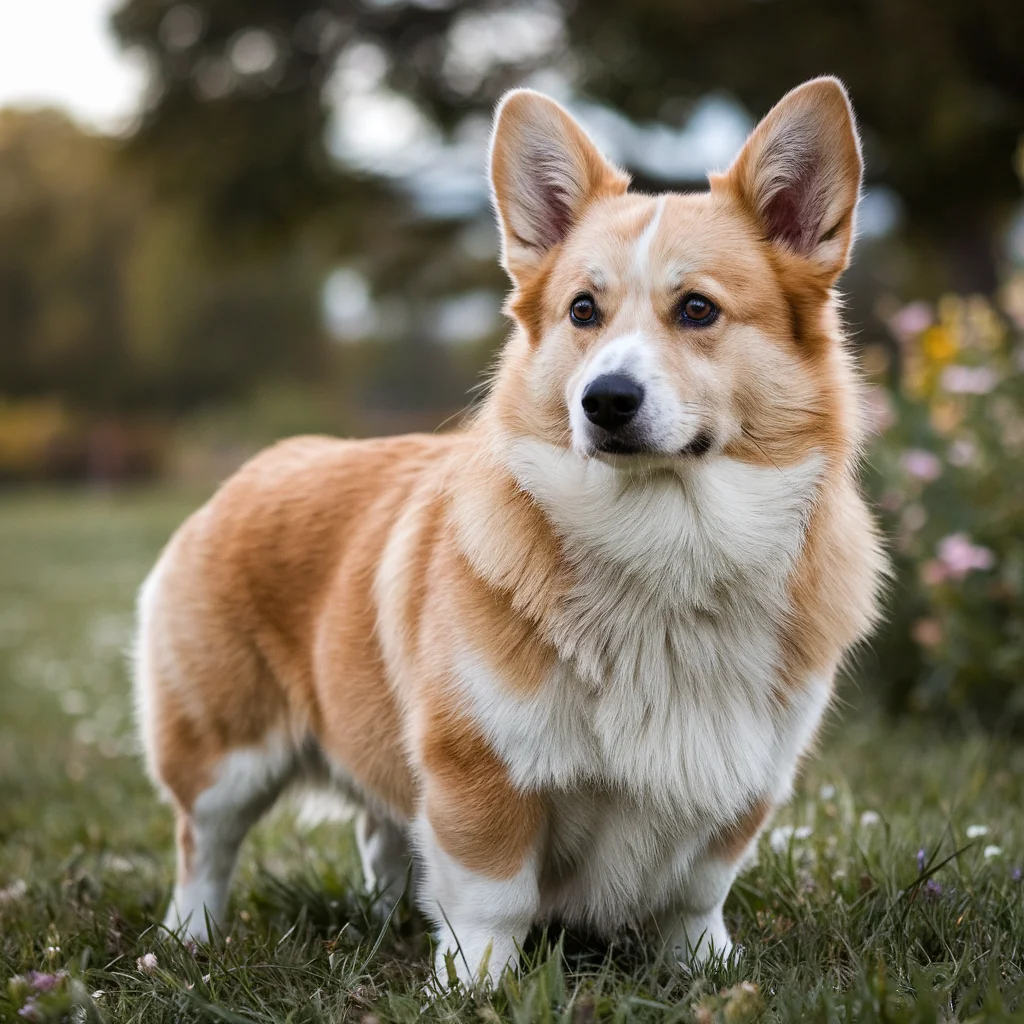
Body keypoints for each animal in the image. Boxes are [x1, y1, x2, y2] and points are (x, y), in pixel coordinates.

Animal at [134, 75, 888, 987]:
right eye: (583, 311)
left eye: (698, 309)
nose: (604, 400)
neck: (666, 539)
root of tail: (259, 464)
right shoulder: (477, 768)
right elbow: (492, 900)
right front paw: (471, 987)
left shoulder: (743, 780)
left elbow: (696, 895)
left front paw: (706, 972)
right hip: (222, 751)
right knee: (203, 846)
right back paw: (188, 941)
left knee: (382, 832)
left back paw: (383, 919)